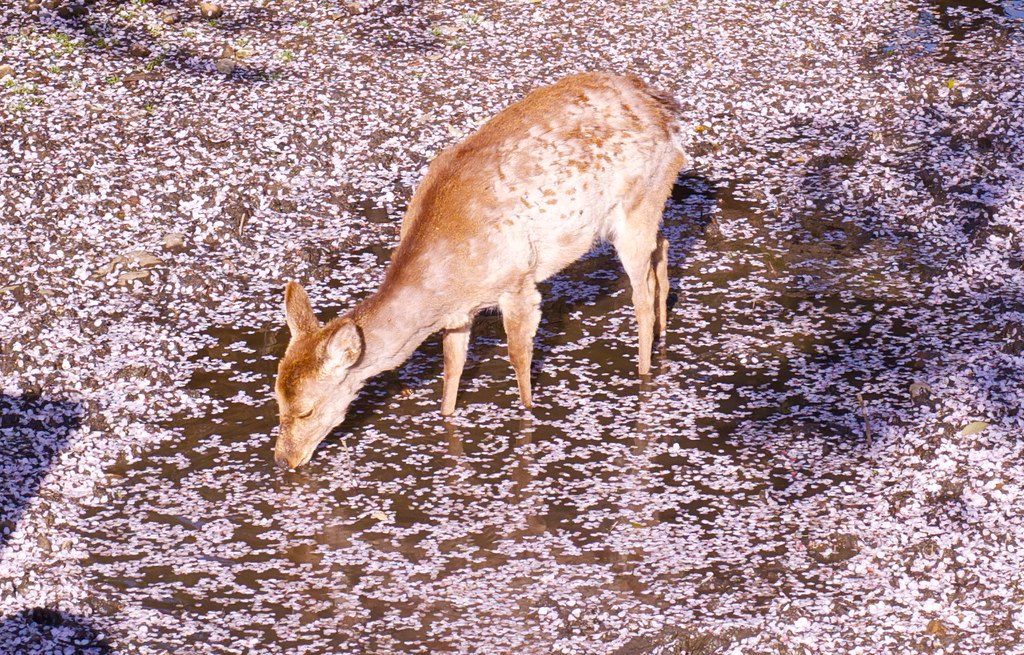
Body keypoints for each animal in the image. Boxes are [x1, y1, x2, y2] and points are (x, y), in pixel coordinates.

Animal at [273, 72, 687, 469]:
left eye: (307, 409)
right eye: (276, 399)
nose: (283, 459)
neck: (445, 281)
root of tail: (665, 112)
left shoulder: (518, 282)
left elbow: (518, 356)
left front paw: (528, 413)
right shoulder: (459, 314)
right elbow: (452, 366)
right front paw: (446, 417)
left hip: (636, 202)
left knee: (640, 295)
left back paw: (645, 371)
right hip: (648, 205)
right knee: (663, 247)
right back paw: (663, 333)